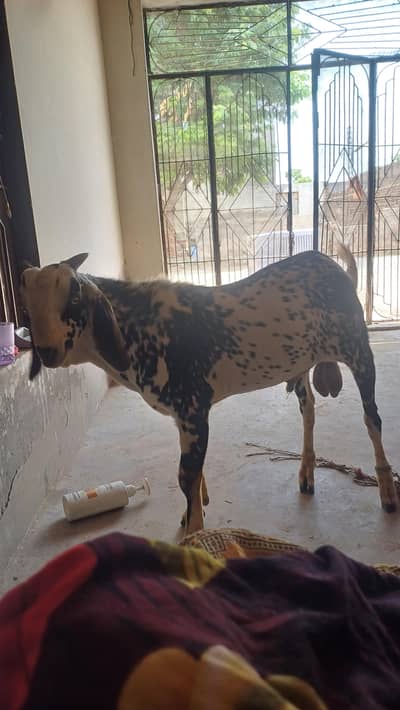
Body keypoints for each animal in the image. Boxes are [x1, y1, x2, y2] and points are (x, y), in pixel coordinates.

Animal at [20, 248, 397, 534]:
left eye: (73, 297)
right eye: (27, 303)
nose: (48, 351)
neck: (141, 327)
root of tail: (335, 267)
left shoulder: (193, 408)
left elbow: (186, 475)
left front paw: (194, 534)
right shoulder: (183, 417)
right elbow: (193, 474)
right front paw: (193, 514)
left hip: (358, 349)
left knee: (372, 418)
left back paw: (387, 491)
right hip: (301, 364)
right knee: (309, 412)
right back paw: (306, 474)